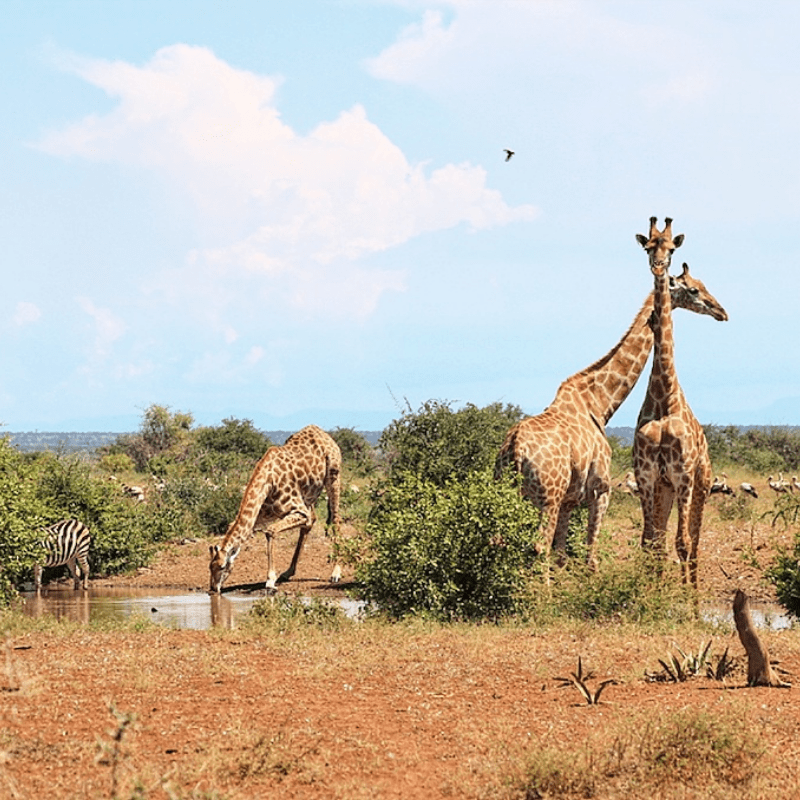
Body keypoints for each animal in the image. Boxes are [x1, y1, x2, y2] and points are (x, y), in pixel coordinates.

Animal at [208, 424, 342, 592]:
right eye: (209, 567)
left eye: (221, 567)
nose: (213, 589)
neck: (267, 483)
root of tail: (324, 434)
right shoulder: (260, 515)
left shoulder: (299, 510)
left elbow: (270, 531)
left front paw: (270, 581)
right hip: (308, 496)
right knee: (311, 521)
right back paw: (288, 572)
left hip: (333, 477)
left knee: (336, 520)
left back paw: (336, 573)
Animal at [494, 256, 724, 568]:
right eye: (694, 290)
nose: (720, 311)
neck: (600, 404)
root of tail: (515, 448)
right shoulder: (601, 491)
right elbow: (590, 556)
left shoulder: (569, 501)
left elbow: (562, 554)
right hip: (547, 497)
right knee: (539, 547)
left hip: (507, 492)